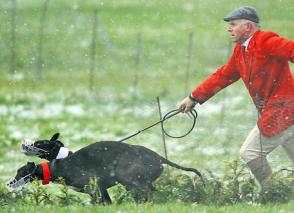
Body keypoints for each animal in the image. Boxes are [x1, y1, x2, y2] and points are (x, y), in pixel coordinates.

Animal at [8, 134, 202, 204]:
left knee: (144, 191)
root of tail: (159, 157)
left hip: (128, 178)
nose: (9, 183)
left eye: (20, 172)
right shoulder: (98, 190)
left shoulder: (96, 186)